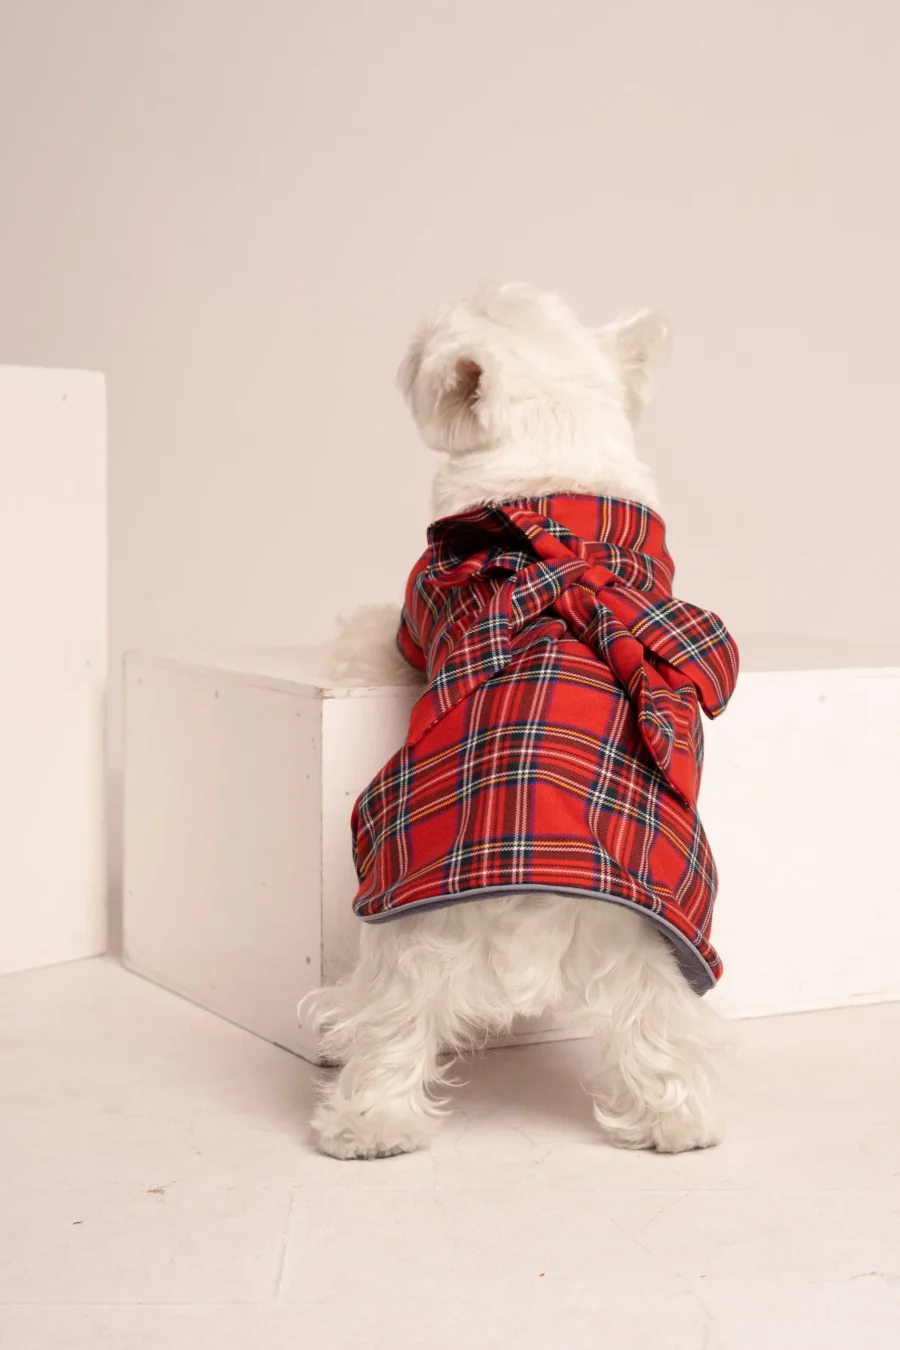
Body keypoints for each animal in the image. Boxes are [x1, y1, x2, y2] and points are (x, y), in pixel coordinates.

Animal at [304, 282, 739, 1161]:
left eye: (419, 351)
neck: (558, 449)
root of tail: (531, 903)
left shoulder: (409, 620)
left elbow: (368, 635)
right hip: (652, 950)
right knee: (664, 1039)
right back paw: (677, 1124)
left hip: (401, 930)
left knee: (387, 1026)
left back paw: (363, 1120)